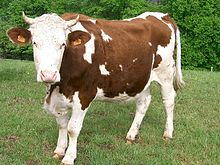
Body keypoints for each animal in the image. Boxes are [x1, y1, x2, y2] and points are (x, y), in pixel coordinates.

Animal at [7, 11, 184, 164]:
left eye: (63, 44)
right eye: (35, 43)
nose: (48, 74)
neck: (59, 84)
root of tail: (162, 15)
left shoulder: (85, 94)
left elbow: (72, 128)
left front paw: (69, 157)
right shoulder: (59, 96)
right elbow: (62, 124)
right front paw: (59, 150)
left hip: (166, 73)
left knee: (169, 101)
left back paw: (168, 134)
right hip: (141, 78)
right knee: (144, 102)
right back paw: (131, 135)